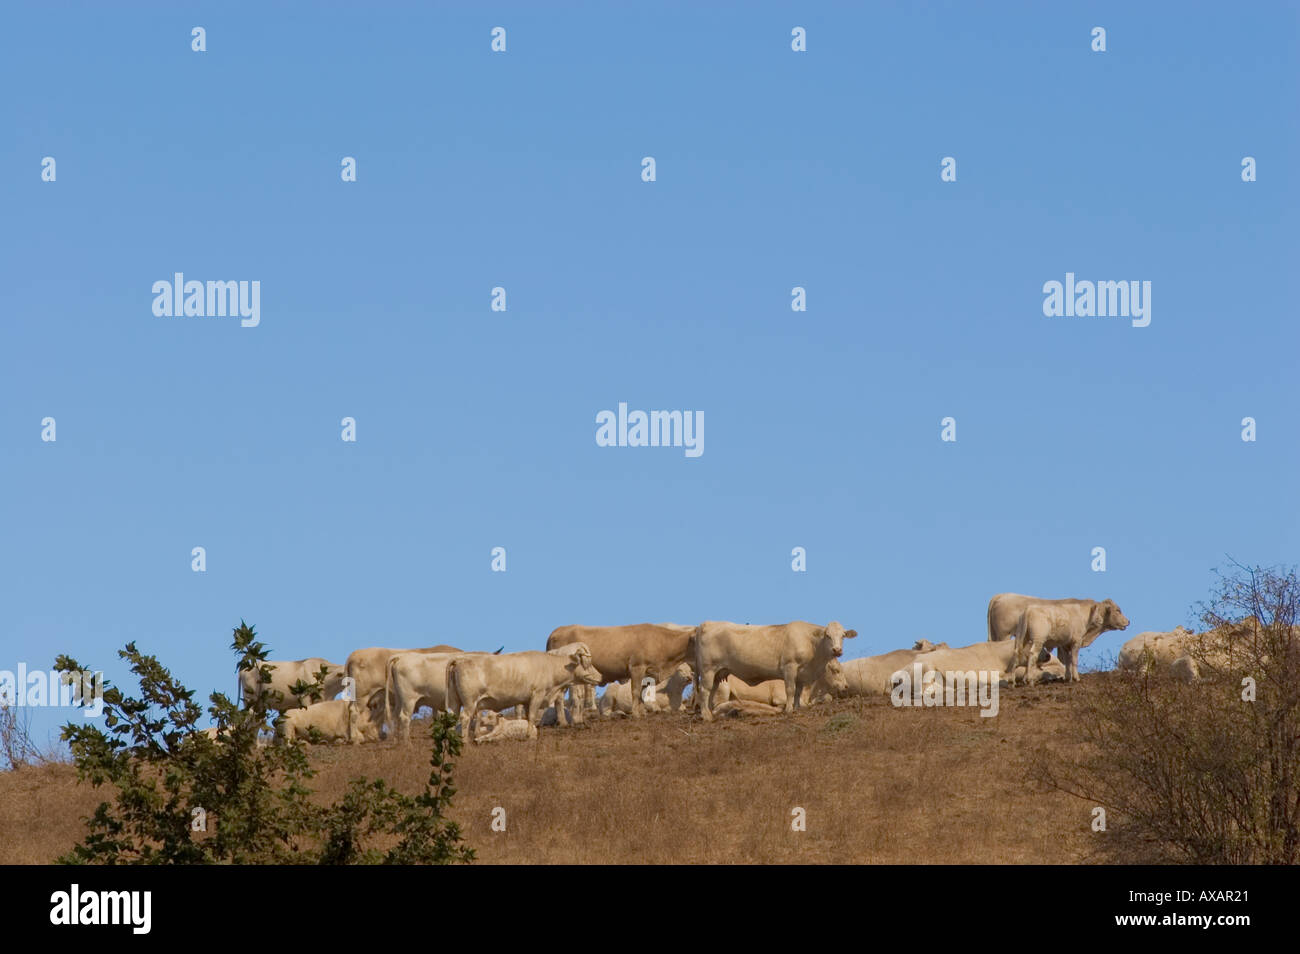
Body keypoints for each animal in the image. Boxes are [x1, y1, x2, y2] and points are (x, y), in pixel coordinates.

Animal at [696, 623, 857, 722]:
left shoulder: (801, 674)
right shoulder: (789, 667)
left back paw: (709, 713)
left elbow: (797, 692)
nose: (837, 650)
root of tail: (708, 623)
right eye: (828, 635)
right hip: (708, 669)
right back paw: (706, 716)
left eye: (843, 635)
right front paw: (789, 709)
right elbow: (790, 690)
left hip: (718, 673)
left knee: (711, 692)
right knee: (705, 691)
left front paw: (796, 708)